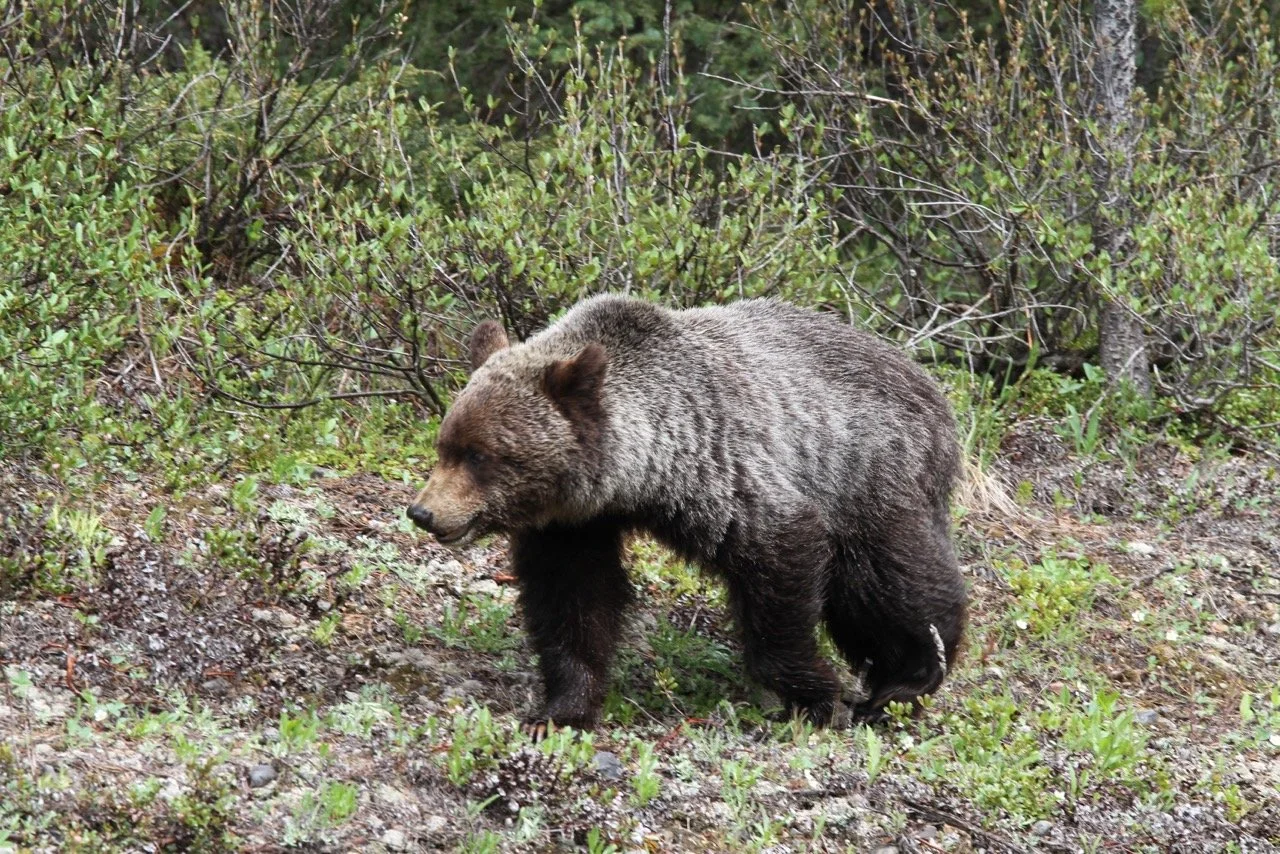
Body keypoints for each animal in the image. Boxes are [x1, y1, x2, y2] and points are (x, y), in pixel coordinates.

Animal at [407, 294, 967, 734]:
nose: (423, 512)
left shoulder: (727, 474)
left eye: (479, 455)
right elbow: (573, 602)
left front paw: (818, 695)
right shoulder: (573, 524)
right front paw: (561, 710)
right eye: (445, 445)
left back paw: (908, 677)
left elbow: (779, 563)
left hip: (869, 473)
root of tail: (932, 385)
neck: (641, 476)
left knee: (890, 579)